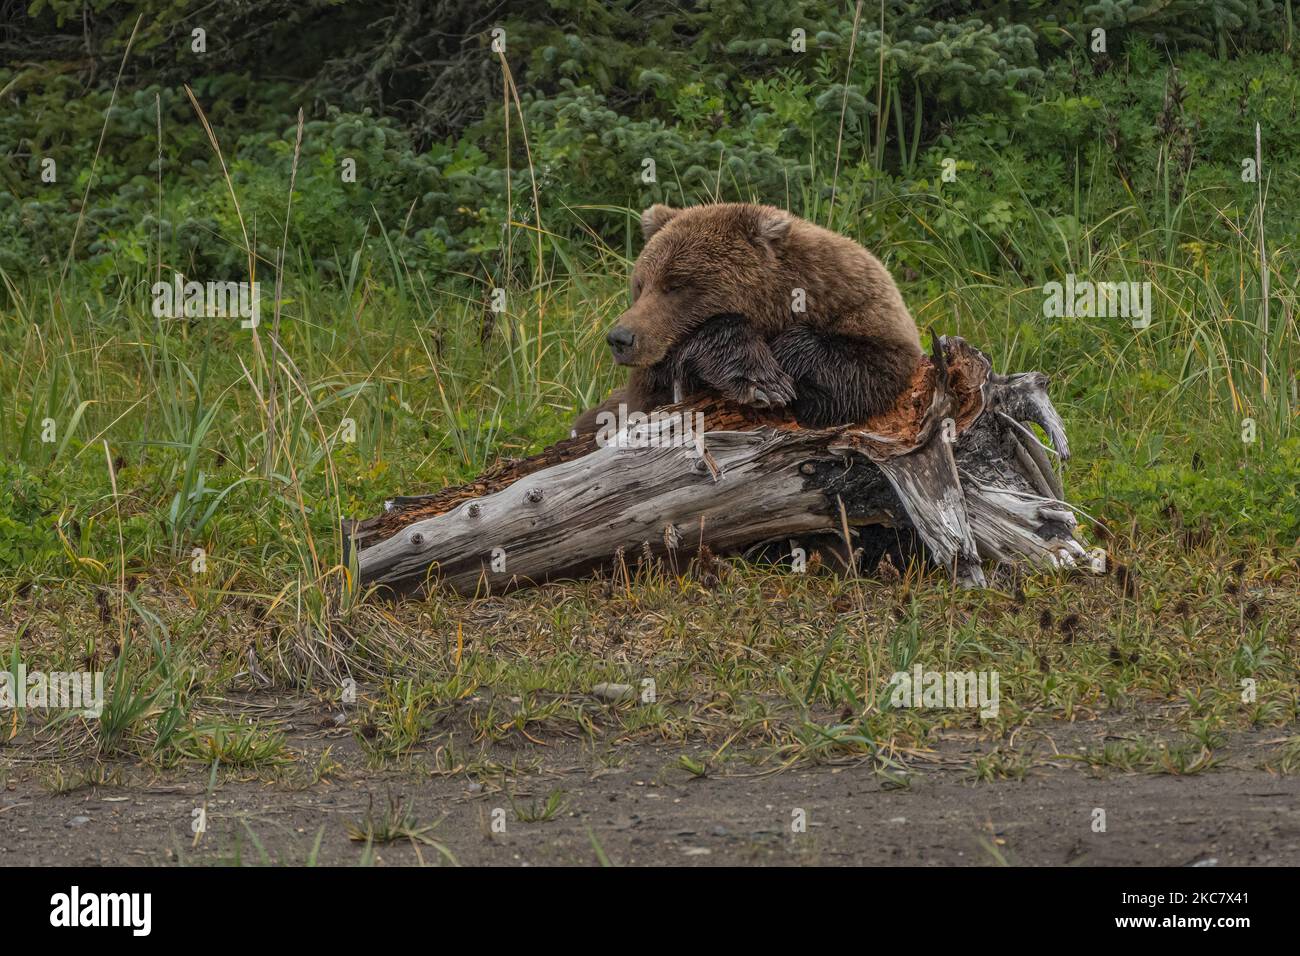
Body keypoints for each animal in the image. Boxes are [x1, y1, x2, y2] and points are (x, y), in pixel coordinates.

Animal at [572, 201, 925, 434]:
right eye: (640, 285)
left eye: (675, 285)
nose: (620, 338)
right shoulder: (649, 385)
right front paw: (761, 379)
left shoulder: (861, 305)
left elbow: (867, 369)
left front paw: (782, 362)